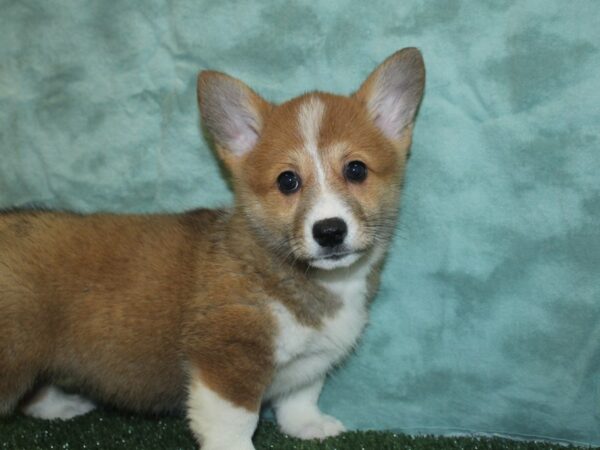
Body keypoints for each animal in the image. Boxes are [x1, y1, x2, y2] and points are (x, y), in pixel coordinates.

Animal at [1, 48, 426, 450]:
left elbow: (299, 399)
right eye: (287, 180)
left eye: (356, 170)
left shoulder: (309, 364)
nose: (330, 231)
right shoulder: (226, 356)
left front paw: (309, 427)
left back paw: (60, 406)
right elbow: (234, 423)